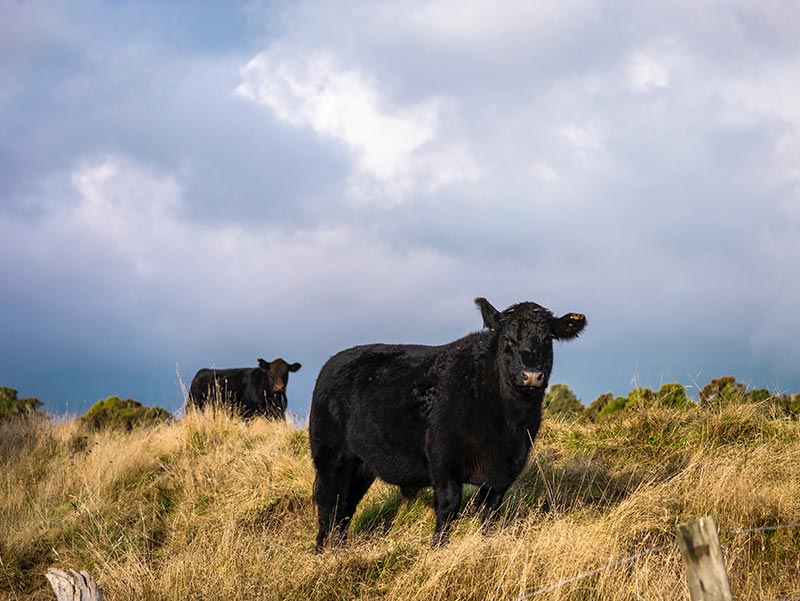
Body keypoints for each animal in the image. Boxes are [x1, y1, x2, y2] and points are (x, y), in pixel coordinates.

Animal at [310, 296, 584, 548]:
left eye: (547, 339)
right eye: (508, 339)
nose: (531, 375)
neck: (507, 424)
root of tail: (334, 361)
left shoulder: (507, 469)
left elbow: (489, 513)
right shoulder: (444, 457)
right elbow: (449, 506)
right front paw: (438, 547)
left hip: (362, 465)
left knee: (346, 507)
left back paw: (339, 548)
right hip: (332, 456)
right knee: (330, 502)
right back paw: (325, 549)